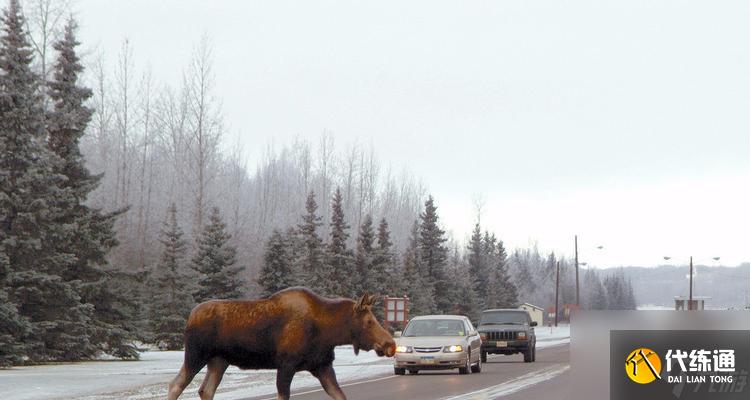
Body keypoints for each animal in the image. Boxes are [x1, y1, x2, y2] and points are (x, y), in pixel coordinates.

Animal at [167, 288, 396, 400]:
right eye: (369, 321)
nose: (390, 343)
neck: (329, 332)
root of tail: (189, 317)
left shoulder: (322, 366)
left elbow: (340, 395)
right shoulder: (286, 365)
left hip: (219, 361)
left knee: (206, 390)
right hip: (196, 355)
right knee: (176, 384)